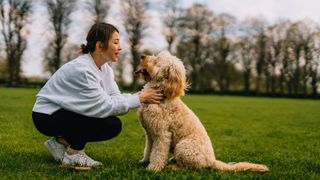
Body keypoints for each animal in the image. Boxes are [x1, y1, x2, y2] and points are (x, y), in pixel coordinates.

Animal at [134, 51, 268, 172]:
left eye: (157, 60)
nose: (142, 56)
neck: (161, 92)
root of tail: (212, 161)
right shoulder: (149, 134)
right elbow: (148, 149)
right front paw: (145, 161)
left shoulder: (162, 134)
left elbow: (158, 153)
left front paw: (153, 168)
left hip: (183, 147)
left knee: (191, 167)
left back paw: (173, 166)